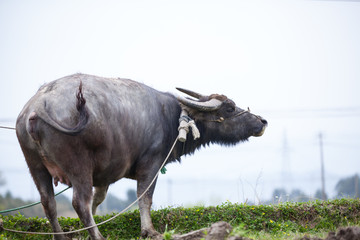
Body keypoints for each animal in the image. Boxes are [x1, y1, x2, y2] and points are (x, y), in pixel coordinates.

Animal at [15, 73, 266, 240]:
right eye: (230, 108)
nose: (262, 121)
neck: (173, 118)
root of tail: (38, 105)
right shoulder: (151, 165)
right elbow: (144, 197)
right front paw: (149, 230)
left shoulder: (104, 175)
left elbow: (99, 200)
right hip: (78, 166)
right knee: (79, 202)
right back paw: (98, 237)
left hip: (35, 166)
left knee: (49, 203)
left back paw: (61, 236)